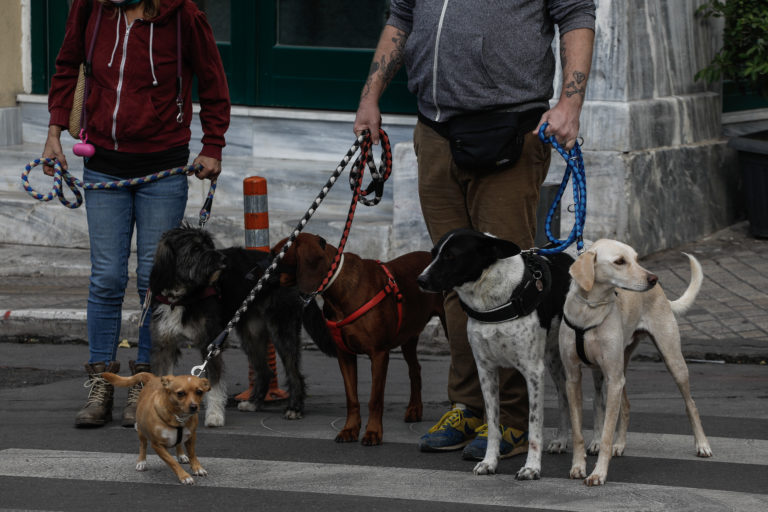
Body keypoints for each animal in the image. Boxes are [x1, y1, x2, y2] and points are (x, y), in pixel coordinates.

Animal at [148, 224, 334, 428]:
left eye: (209, 244)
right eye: (195, 248)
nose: (223, 259)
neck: (182, 297)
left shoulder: (210, 344)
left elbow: (213, 384)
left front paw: (214, 416)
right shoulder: (164, 346)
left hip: (282, 328)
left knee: (294, 373)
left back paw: (294, 408)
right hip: (251, 333)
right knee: (265, 370)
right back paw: (253, 403)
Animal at [274, 234, 444, 446]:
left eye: (279, 253)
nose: (259, 274)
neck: (338, 290)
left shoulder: (379, 354)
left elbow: (375, 399)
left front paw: (373, 432)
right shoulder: (345, 355)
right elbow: (352, 398)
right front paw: (350, 429)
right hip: (409, 336)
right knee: (415, 370)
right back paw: (414, 409)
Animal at [416, 228, 572, 480]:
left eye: (451, 256)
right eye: (433, 253)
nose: (420, 280)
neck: (492, 299)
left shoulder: (533, 373)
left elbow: (534, 425)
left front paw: (531, 467)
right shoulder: (486, 371)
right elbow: (492, 423)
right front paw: (489, 462)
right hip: (554, 358)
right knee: (564, 396)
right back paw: (561, 440)